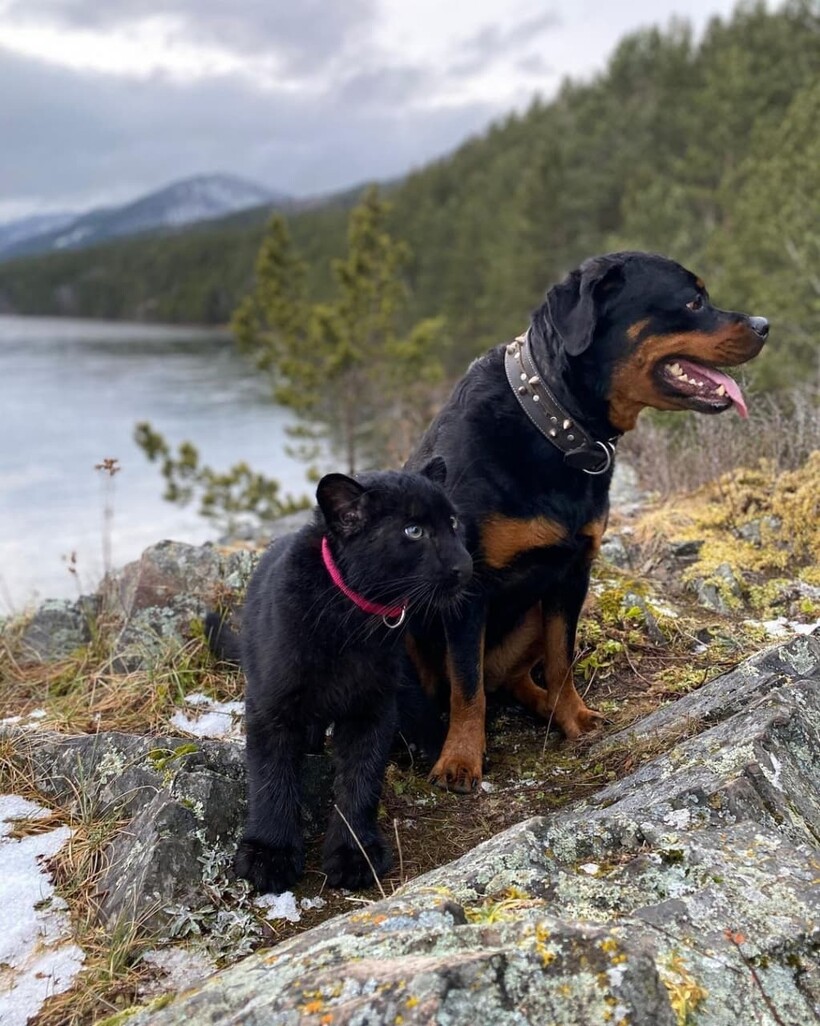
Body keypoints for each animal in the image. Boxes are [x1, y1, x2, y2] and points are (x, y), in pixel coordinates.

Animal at [208, 461, 472, 894]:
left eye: (453, 522)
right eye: (413, 531)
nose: (465, 566)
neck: (352, 619)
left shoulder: (373, 707)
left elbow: (361, 782)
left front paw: (354, 854)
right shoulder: (270, 707)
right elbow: (271, 779)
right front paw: (269, 854)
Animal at [406, 250, 771, 792]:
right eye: (693, 301)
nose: (765, 324)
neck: (554, 423)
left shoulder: (572, 573)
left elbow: (562, 660)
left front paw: (573, 718)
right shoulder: (467, 587)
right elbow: (466, 686)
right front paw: (460, 759)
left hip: (531, 617)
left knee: (511, 679)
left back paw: (540, 705)